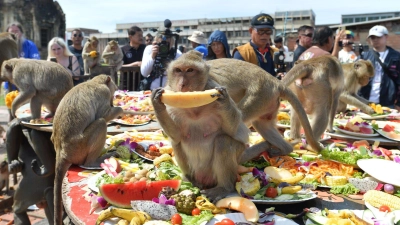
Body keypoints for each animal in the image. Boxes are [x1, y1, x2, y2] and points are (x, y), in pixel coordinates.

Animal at [51, 74, 123, 224]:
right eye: (114, 91)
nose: (113, 102)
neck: (95, 82)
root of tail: (61, 152)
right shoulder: (103, 93)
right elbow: (105, 115)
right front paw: (121, 110)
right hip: (80, 147)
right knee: (101, 122)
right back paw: (93, 162)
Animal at [152, 50, 250, 201]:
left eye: (190, 70)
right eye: (178, 70)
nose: (182, 84)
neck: (194, 108)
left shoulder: (213, 85)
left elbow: (233, 130)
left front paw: (224, 99)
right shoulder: (171, 101)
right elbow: (176, 135)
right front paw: (157, 102)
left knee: (223, 141)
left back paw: (224, 187)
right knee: (177, 142)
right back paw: (190, 179)